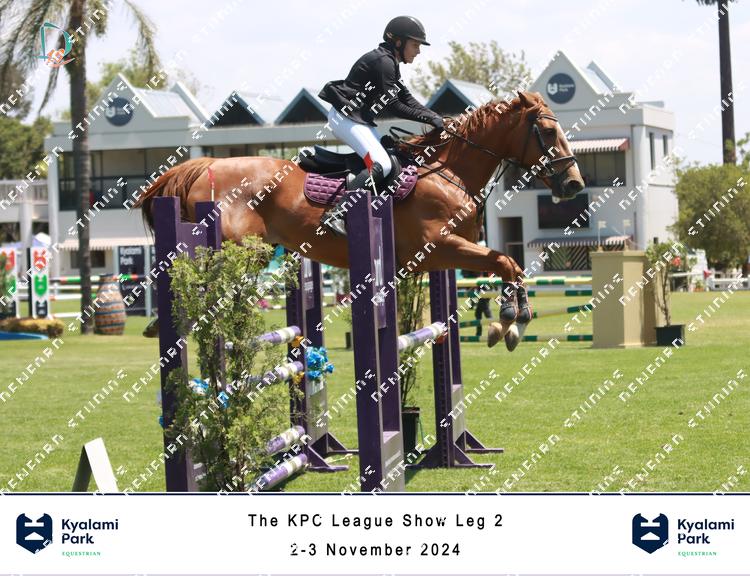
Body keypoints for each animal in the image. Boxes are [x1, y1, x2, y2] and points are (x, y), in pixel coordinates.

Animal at [135, 91, 584, 349]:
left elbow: (506, 265)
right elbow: (506, 262)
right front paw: (511, 319)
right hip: (238, 250)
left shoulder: (454, 252)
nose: (574, 184)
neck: (448, 172)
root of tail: (205, 164)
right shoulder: (437, 249)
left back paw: (160, 324)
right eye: (547, 131)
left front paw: (509, 322)